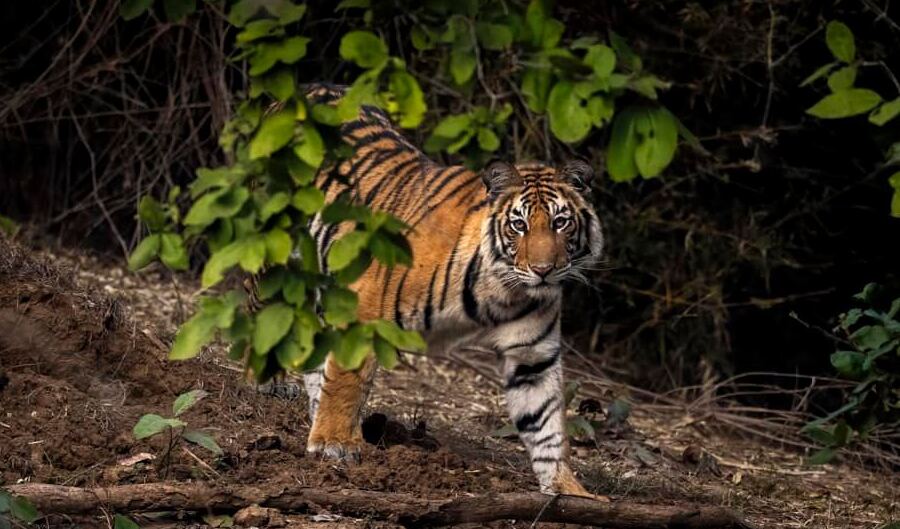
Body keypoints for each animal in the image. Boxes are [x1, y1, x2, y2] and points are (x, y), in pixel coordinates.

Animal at [299, 84, 604, 497]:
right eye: (519, 225)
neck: (501, 289)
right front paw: (333, 444)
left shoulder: (532, 355)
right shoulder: (366, 311)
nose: (543, 271)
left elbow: (546, 423)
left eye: (560, 223)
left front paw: (568, 489)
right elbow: (347, 379)